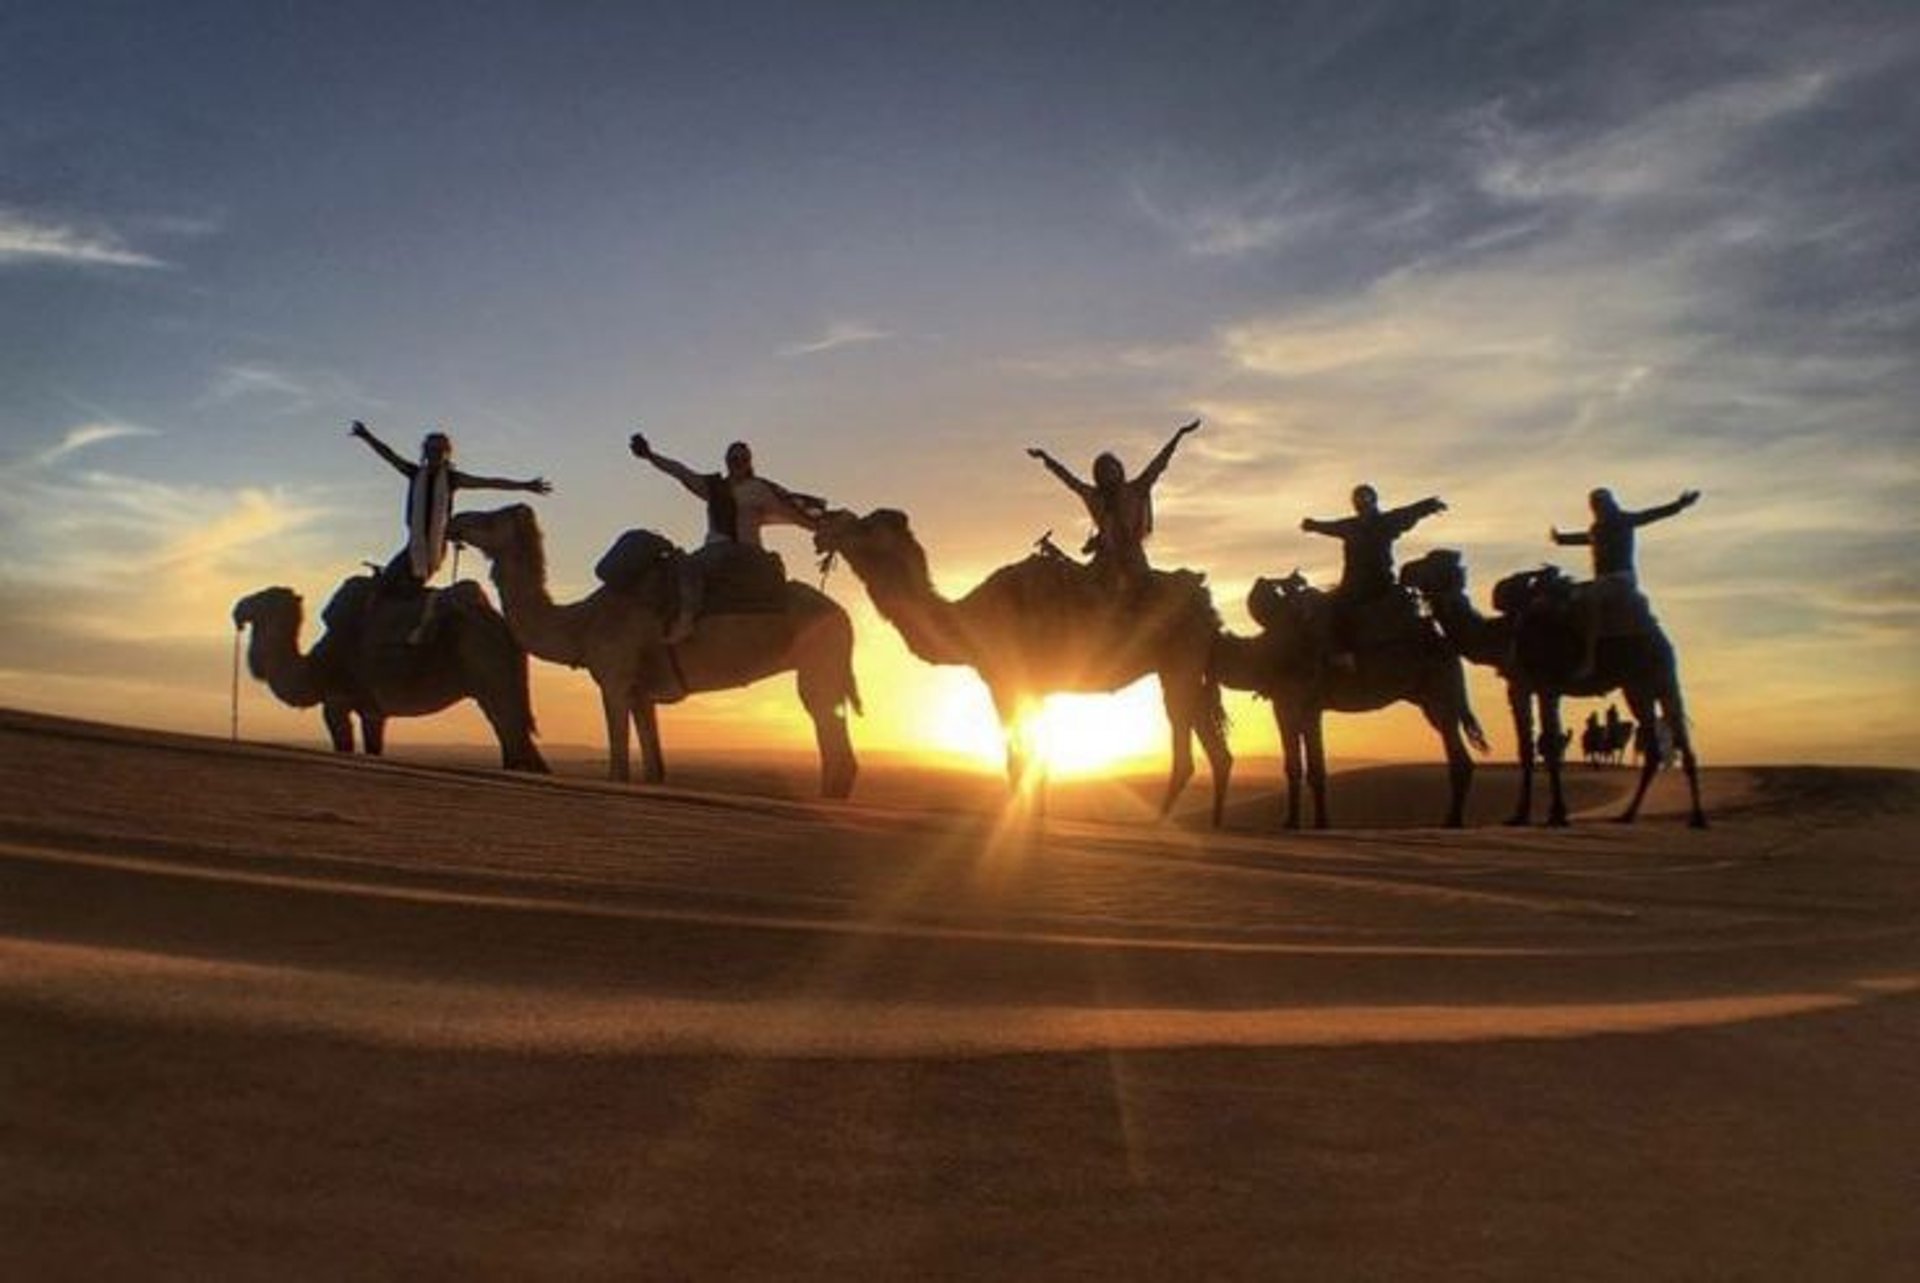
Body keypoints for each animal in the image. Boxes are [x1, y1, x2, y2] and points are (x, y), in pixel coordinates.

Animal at [234, 580, 549, 772]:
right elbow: (374, 749)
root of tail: (502, 626)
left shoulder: (336, 701)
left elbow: (344, 746)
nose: (238, 607)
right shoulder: (372, 711)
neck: (315, 667)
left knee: (511, 731)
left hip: (489, 675)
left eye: (266, 597)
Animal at [445, 507, 860, 795]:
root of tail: (843, 615)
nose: (456, 520)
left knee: (830, 735)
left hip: (819, 658)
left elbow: (618, 770)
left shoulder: (614, 680)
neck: (581, 623)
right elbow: (653, 770)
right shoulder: (640, 692)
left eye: (491, 517)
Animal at [810, 507, 1228, 822]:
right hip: (1189, 668)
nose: (820, 533)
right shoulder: (1033, 688)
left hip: (1179, 664)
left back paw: (1158, 823)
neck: (969, 621)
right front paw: (1035, 816)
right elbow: (1035, 759)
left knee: (1185, 752)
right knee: (1217, 750)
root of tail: (1205, 601)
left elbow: (1017, 759)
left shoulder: (1004, 683)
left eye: (862, 525)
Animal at [1213, 572, 1482, 833]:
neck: (1263, 652)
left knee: (1457, 752)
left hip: (1441, 692)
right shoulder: (1286, 705)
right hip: (1428, 699)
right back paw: (1452, 819)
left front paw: (1317, 823)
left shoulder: (1305, 704)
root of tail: (1445, 642)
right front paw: (1294, 822)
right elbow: (1295, 765)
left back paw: (1452, 821)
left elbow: (1314, 767)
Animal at [1405, 553, 1704, 833]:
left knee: (1681, 737)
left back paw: (1697, 818)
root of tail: (1656, 629)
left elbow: (1549, 746)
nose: (1406, 569)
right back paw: (1627, 815)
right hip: (1636, 687)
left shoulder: (1547, 686)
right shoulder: (1519, 686)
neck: (1504, 634)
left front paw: (1557, 815)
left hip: (1661, 675)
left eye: (1431, 561)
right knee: (1654, 748)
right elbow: (1526, 749)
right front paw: (1519, 816)